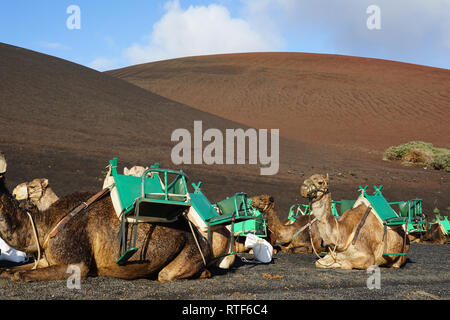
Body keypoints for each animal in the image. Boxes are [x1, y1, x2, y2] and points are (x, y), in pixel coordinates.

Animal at [0, 160, 212, 282]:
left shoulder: (77, 262)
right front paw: (8, 271)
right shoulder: (46, 259)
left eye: (32, 186)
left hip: (191, 250)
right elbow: (9, 271)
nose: (16, 193)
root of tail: (203, 238)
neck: (47, 223)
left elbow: (20, 275)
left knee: (167, 275)